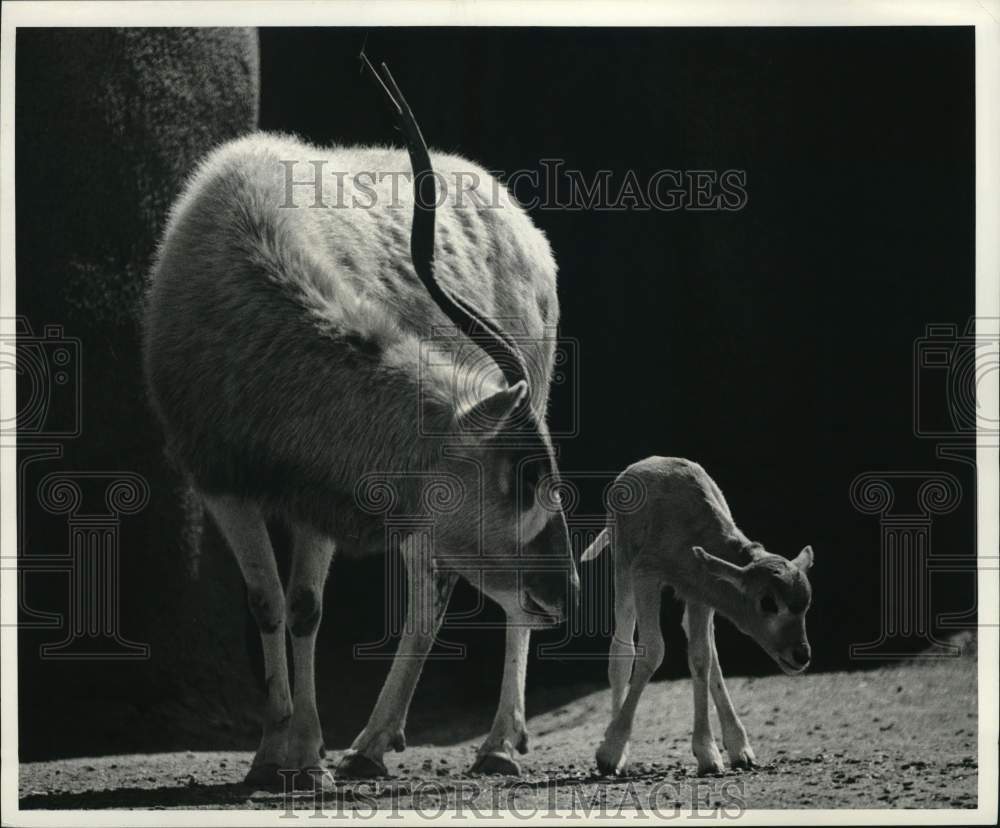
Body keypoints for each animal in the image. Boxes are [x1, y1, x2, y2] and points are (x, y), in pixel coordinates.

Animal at [142, 57, 580, 788]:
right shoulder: (221, 481)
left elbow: (305, 606)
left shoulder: (318, 495)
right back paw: (373, 746)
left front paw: (306, 757)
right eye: (522, 479)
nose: (568, 592)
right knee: (438, 590)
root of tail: (528, 232)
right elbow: (268, 603)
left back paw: (488, 744)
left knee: (460, 596)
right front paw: (270, 756)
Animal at [581, 456, 814, 776]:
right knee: (622, 649)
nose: (800, 655)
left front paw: (709, 752)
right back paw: (618, 751)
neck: (690, 530)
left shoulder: (700, 593)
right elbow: (653, 651)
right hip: (623, 566)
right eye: (768, 603)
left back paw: (739, 748)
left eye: (806, 603)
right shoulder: (646, 574)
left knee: (706, 651)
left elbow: (702, 658)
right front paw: (609, 752)